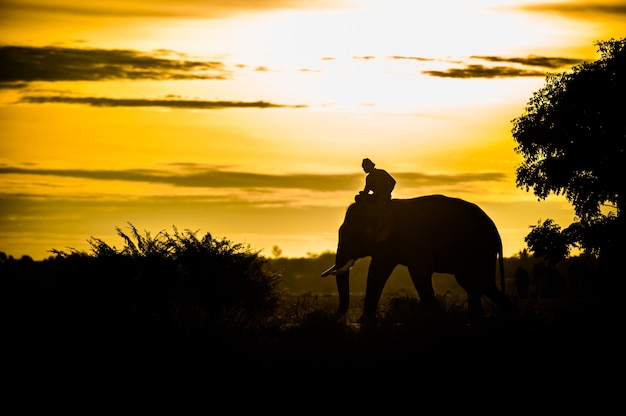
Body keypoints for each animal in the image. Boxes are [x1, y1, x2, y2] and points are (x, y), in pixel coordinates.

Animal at [320, 193, 516, 324]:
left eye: (356, 236)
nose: (335, 317)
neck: (383, 208)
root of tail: (495, 229)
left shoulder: (415, 237)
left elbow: (419, 271)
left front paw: (434, 319)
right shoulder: (388, 245)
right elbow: (378, 272)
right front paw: (364, 321)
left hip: (481, 248)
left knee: (479, 282)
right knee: (473, 283)